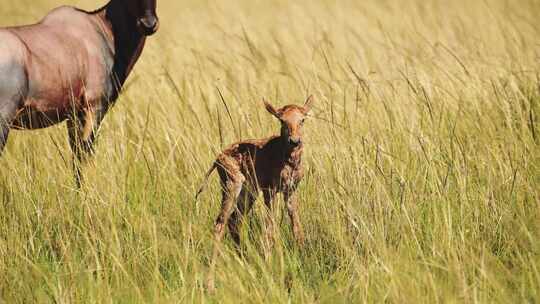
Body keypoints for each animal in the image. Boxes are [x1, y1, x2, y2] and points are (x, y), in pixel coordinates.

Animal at [0, 0, 159, 185]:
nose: (149, 24)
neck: (100, 26)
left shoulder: (74, 115)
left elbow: (75, 156)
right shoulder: (94, 108)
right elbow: (84, 154)